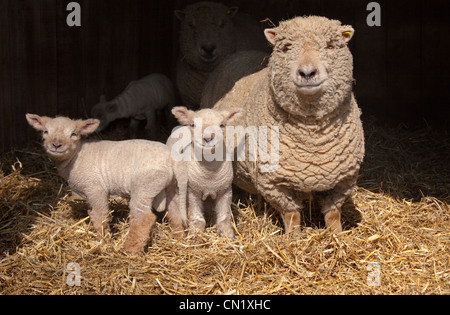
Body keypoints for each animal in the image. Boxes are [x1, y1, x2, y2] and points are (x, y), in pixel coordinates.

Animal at [25, 114, 187, 256]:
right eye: (46, 131)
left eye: (74, 134)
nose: (56, 145)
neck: (76, 156)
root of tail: (171, 159)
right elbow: (94, 214)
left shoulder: (95, 189)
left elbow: (100, 216)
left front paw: (104, 242)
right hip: (172, 187)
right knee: (175, 211)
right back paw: (179, 238)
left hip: (145, 186)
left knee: (143, 218)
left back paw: (130, 251)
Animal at [212, 16, 366, 235]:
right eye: (286, 48)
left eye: (330, 45)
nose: (307, 73)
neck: (312, 139)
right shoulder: (275, 183)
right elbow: (291, 216)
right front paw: (294, 237)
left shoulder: (343, 180)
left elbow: (333, 214)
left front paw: (337, 235)